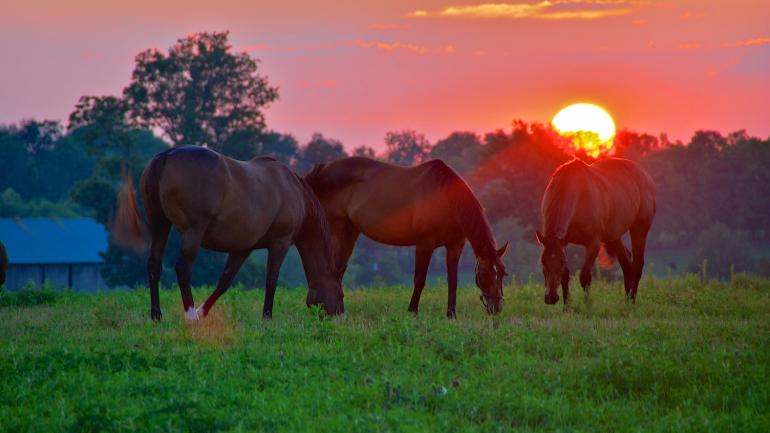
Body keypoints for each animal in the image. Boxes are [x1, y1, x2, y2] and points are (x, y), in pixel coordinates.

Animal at [114, 146, 344, 321]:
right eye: (341, 293)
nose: (339, 316)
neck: (294, 191)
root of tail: (166, 156)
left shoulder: (243, 248)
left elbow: (224, 281)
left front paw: (204, 311)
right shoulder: (280, 242)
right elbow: (271, 280)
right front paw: (267, 318)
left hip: (161, 226)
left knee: (154, 265)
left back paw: (157, 315)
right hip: (192, 233)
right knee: (183, 269)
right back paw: (190, 315)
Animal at [305, 157, 508, 318]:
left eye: (502, 274)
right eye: (483, 274)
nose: (496, 308)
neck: (444, 197)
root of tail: (322, 169)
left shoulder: (455, 245)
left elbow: (453, 281)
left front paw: (451, 315)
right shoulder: (424, 244)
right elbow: (419, 280)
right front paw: (412, 312)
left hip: (349, 231)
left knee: (338, 270)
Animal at [536, 157, 656, 305]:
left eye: (561, 262)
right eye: (542, 261)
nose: (551, 297)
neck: (578, 195)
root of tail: (646, 177)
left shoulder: (593, 243)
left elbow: (585, 277)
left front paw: (587, 306)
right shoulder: (564, 242)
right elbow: (565, 276)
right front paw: (567, 307)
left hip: (639, 230)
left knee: (637, 266)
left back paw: (632, 302)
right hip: (614, 236)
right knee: (626, 264)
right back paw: (626, 302)